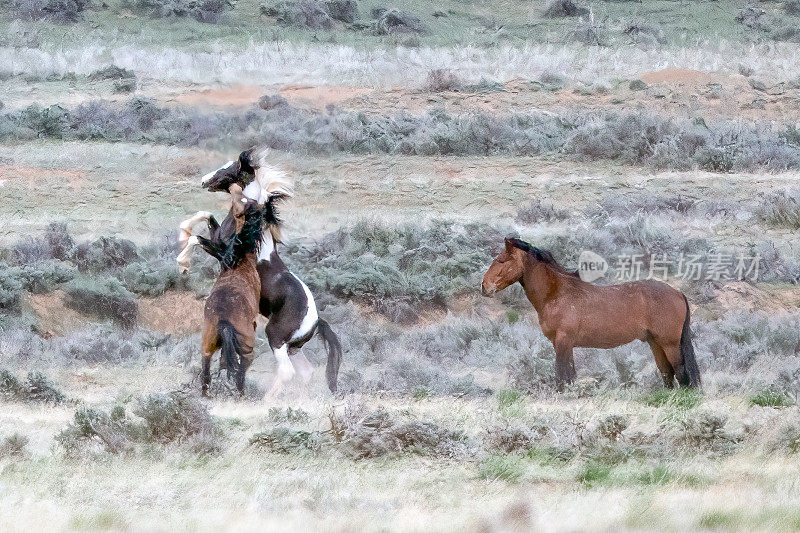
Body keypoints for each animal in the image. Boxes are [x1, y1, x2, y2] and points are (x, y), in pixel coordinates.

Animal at [178, 149, 340, 394]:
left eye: (230, 168)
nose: (204, 180)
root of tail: (315, 321)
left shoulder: (225, 254)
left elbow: (196, 238)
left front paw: (183, 264)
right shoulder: (218, 239)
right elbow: (204, 215)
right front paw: (184, 232)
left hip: (276, 337)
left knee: (287, 371)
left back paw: (264, 397)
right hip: (293, 348)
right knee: (306, 371)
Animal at [482, 239, 700, 388]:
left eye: (501, 260)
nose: (484, 287)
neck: (557, 293)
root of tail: (677, 293)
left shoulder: (563, 340)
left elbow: (563, 376)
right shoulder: (561, 343)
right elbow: (569, 375)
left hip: (669, 343)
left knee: (680, 372)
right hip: (655, 343)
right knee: (666, 373)